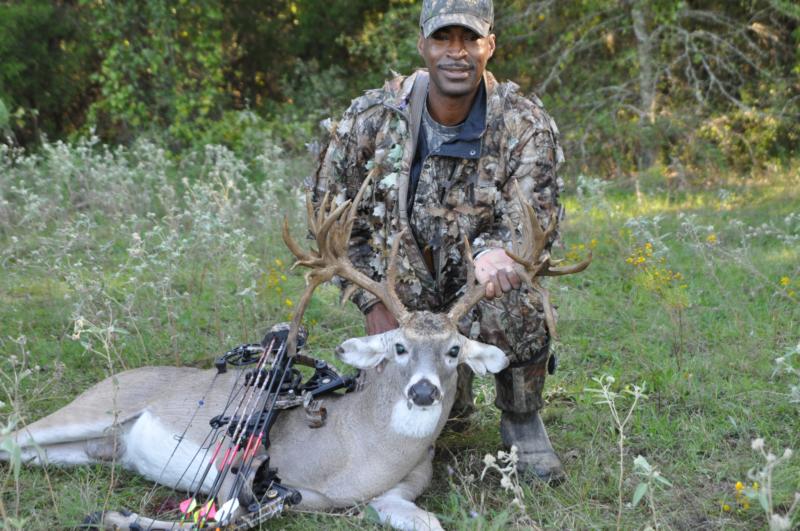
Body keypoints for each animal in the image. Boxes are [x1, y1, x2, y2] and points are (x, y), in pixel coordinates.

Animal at [1, 177, 588, 528]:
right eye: (399, 346)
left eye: (453, 351)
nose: (423, 393)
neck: (362, 452)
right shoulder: (256, 479)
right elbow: (217, 517)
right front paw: (121, 518)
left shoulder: (396, 493)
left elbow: (430, 522)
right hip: (92, 407)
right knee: (14, 435)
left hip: (94, 446)